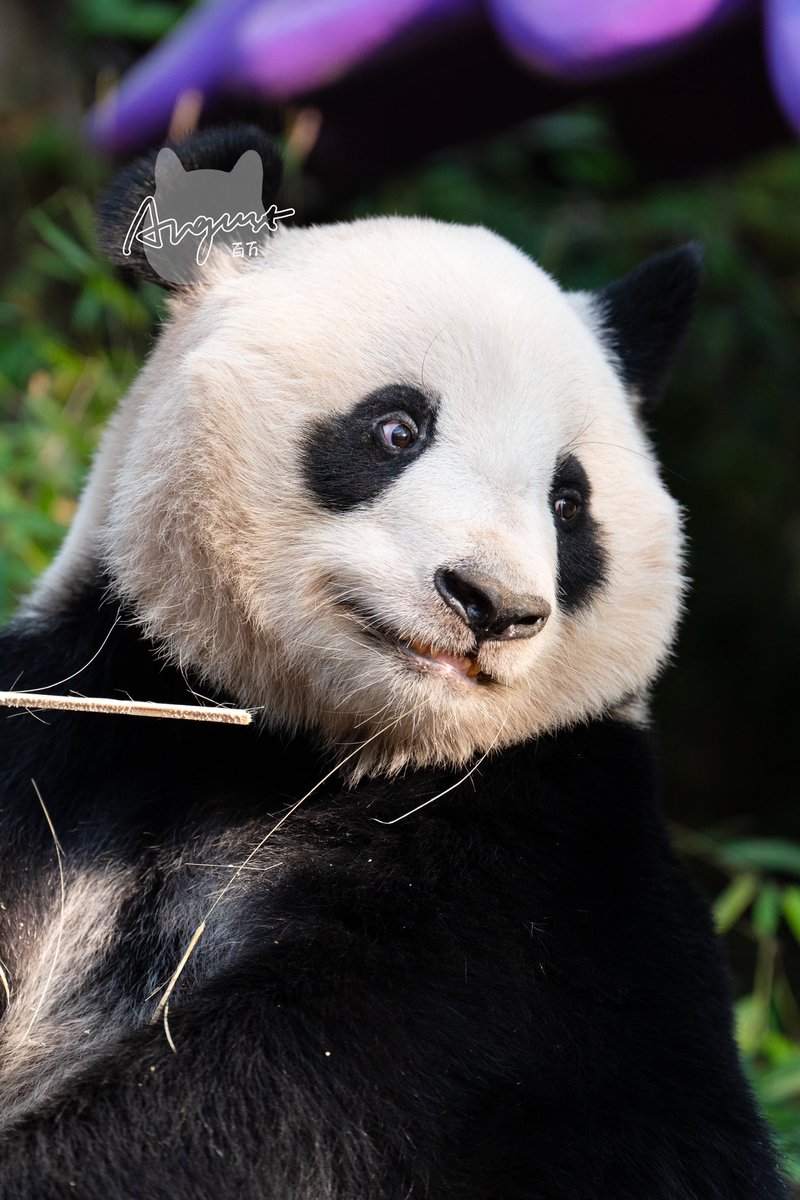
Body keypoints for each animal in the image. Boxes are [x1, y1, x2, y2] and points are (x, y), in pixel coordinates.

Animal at [0, 126, 788, 1199]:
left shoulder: (537, 885)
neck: (306, 749)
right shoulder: (77, 739)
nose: (493, 606)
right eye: (396, 429)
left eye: (568, 503)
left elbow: (272, 1103)